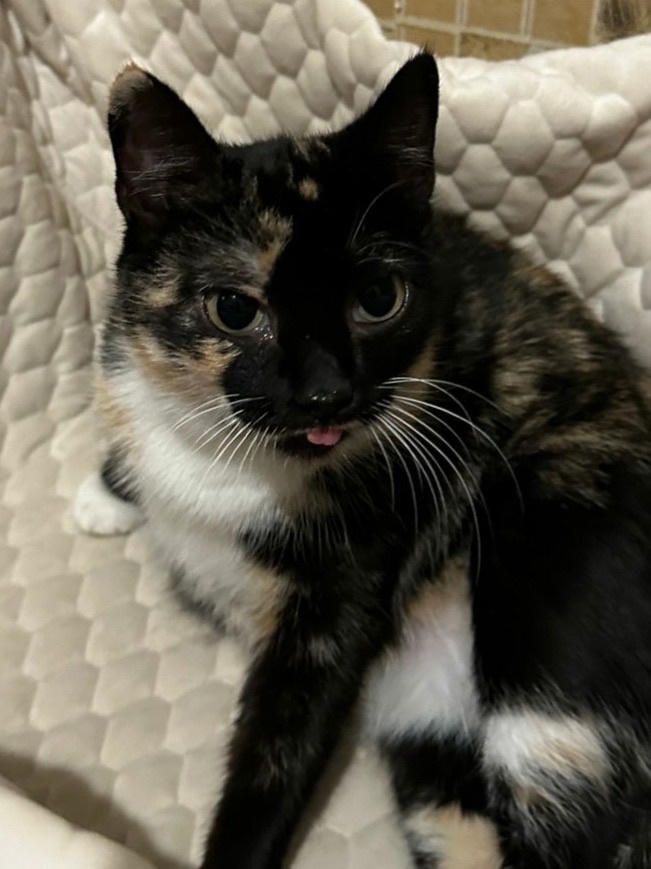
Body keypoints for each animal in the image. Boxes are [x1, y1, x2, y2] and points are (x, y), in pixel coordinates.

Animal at [75, 52, 651, 869]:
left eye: (379, 297)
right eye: (234, 308)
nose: (328, 394)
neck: (228, 457)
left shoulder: (341, 595)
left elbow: (280, 750)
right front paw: (107, 491)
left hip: (553, 592)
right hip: (432, 730)